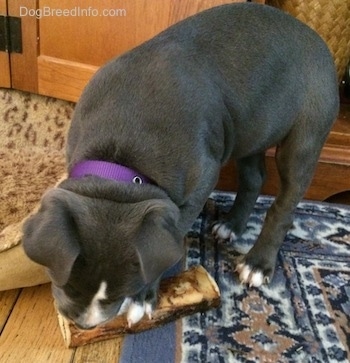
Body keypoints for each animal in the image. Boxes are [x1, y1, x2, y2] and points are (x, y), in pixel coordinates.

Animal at [22, 2, 340, 332]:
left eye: (123, 290)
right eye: (67, 285)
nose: (86, 325)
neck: (119, 164)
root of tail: (315, 38)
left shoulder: (200, 183)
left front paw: (143, 299)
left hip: (305, 136)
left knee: (284, 204)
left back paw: (257, 263)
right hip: (251, 129)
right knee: (254, 178)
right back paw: (232, 224)